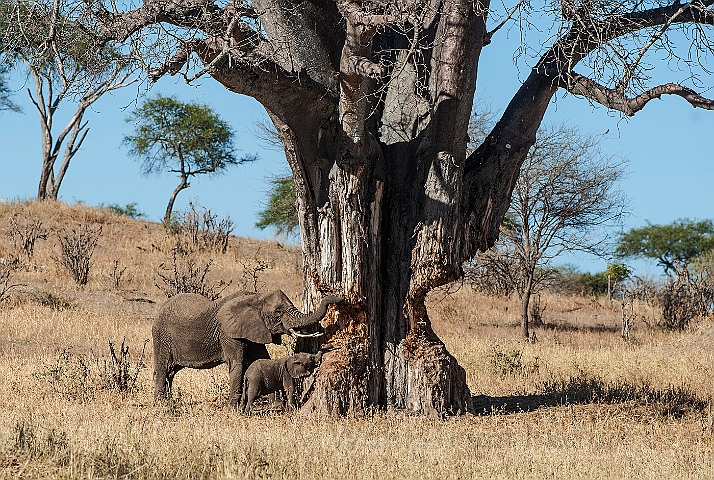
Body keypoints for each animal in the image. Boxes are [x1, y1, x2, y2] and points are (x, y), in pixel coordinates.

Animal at [151, 288, 342, 408]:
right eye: (278, 312)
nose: (340, 298)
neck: (256, 298)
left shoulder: (256, 329)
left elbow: (262, 359)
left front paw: (276, 405)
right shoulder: (228, 332)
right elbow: (238, 363)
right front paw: (233, 409)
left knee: (171, 372)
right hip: (161, 336)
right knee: (163, 368)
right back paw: (162, 405)